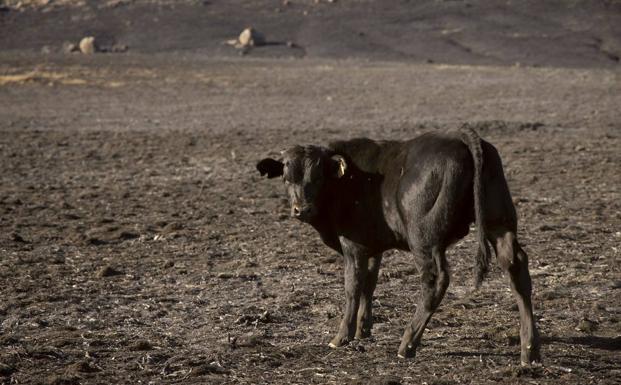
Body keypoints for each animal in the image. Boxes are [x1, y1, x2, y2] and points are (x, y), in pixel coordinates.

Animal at [254, 128, 540, 364]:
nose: (302, 209)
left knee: (435, 280)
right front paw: (363, 329)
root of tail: (461, 137)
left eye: (318, 177)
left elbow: (352, 287)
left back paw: (408, 343)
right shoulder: (372, 247)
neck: (348, 181)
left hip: (424, 240)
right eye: (287, 178)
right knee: (516, 268)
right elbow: (369, 284)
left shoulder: (353, 246)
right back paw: (529, 349)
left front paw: (342, 336)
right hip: (498, 222)